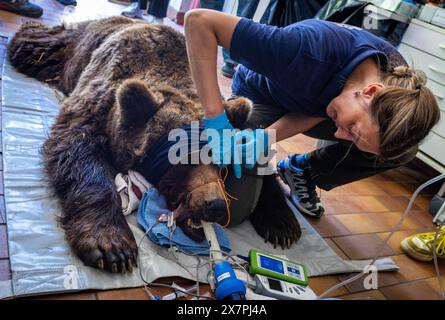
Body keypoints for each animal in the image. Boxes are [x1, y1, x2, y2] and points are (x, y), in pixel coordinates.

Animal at [6, 16, 300, 274]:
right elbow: (78, 151)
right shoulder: (98, 107)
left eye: (220, 163)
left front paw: (283, 224)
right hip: (74, 48)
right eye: (184, 159)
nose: (215, 205)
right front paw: (112, 245)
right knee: (41, 45)